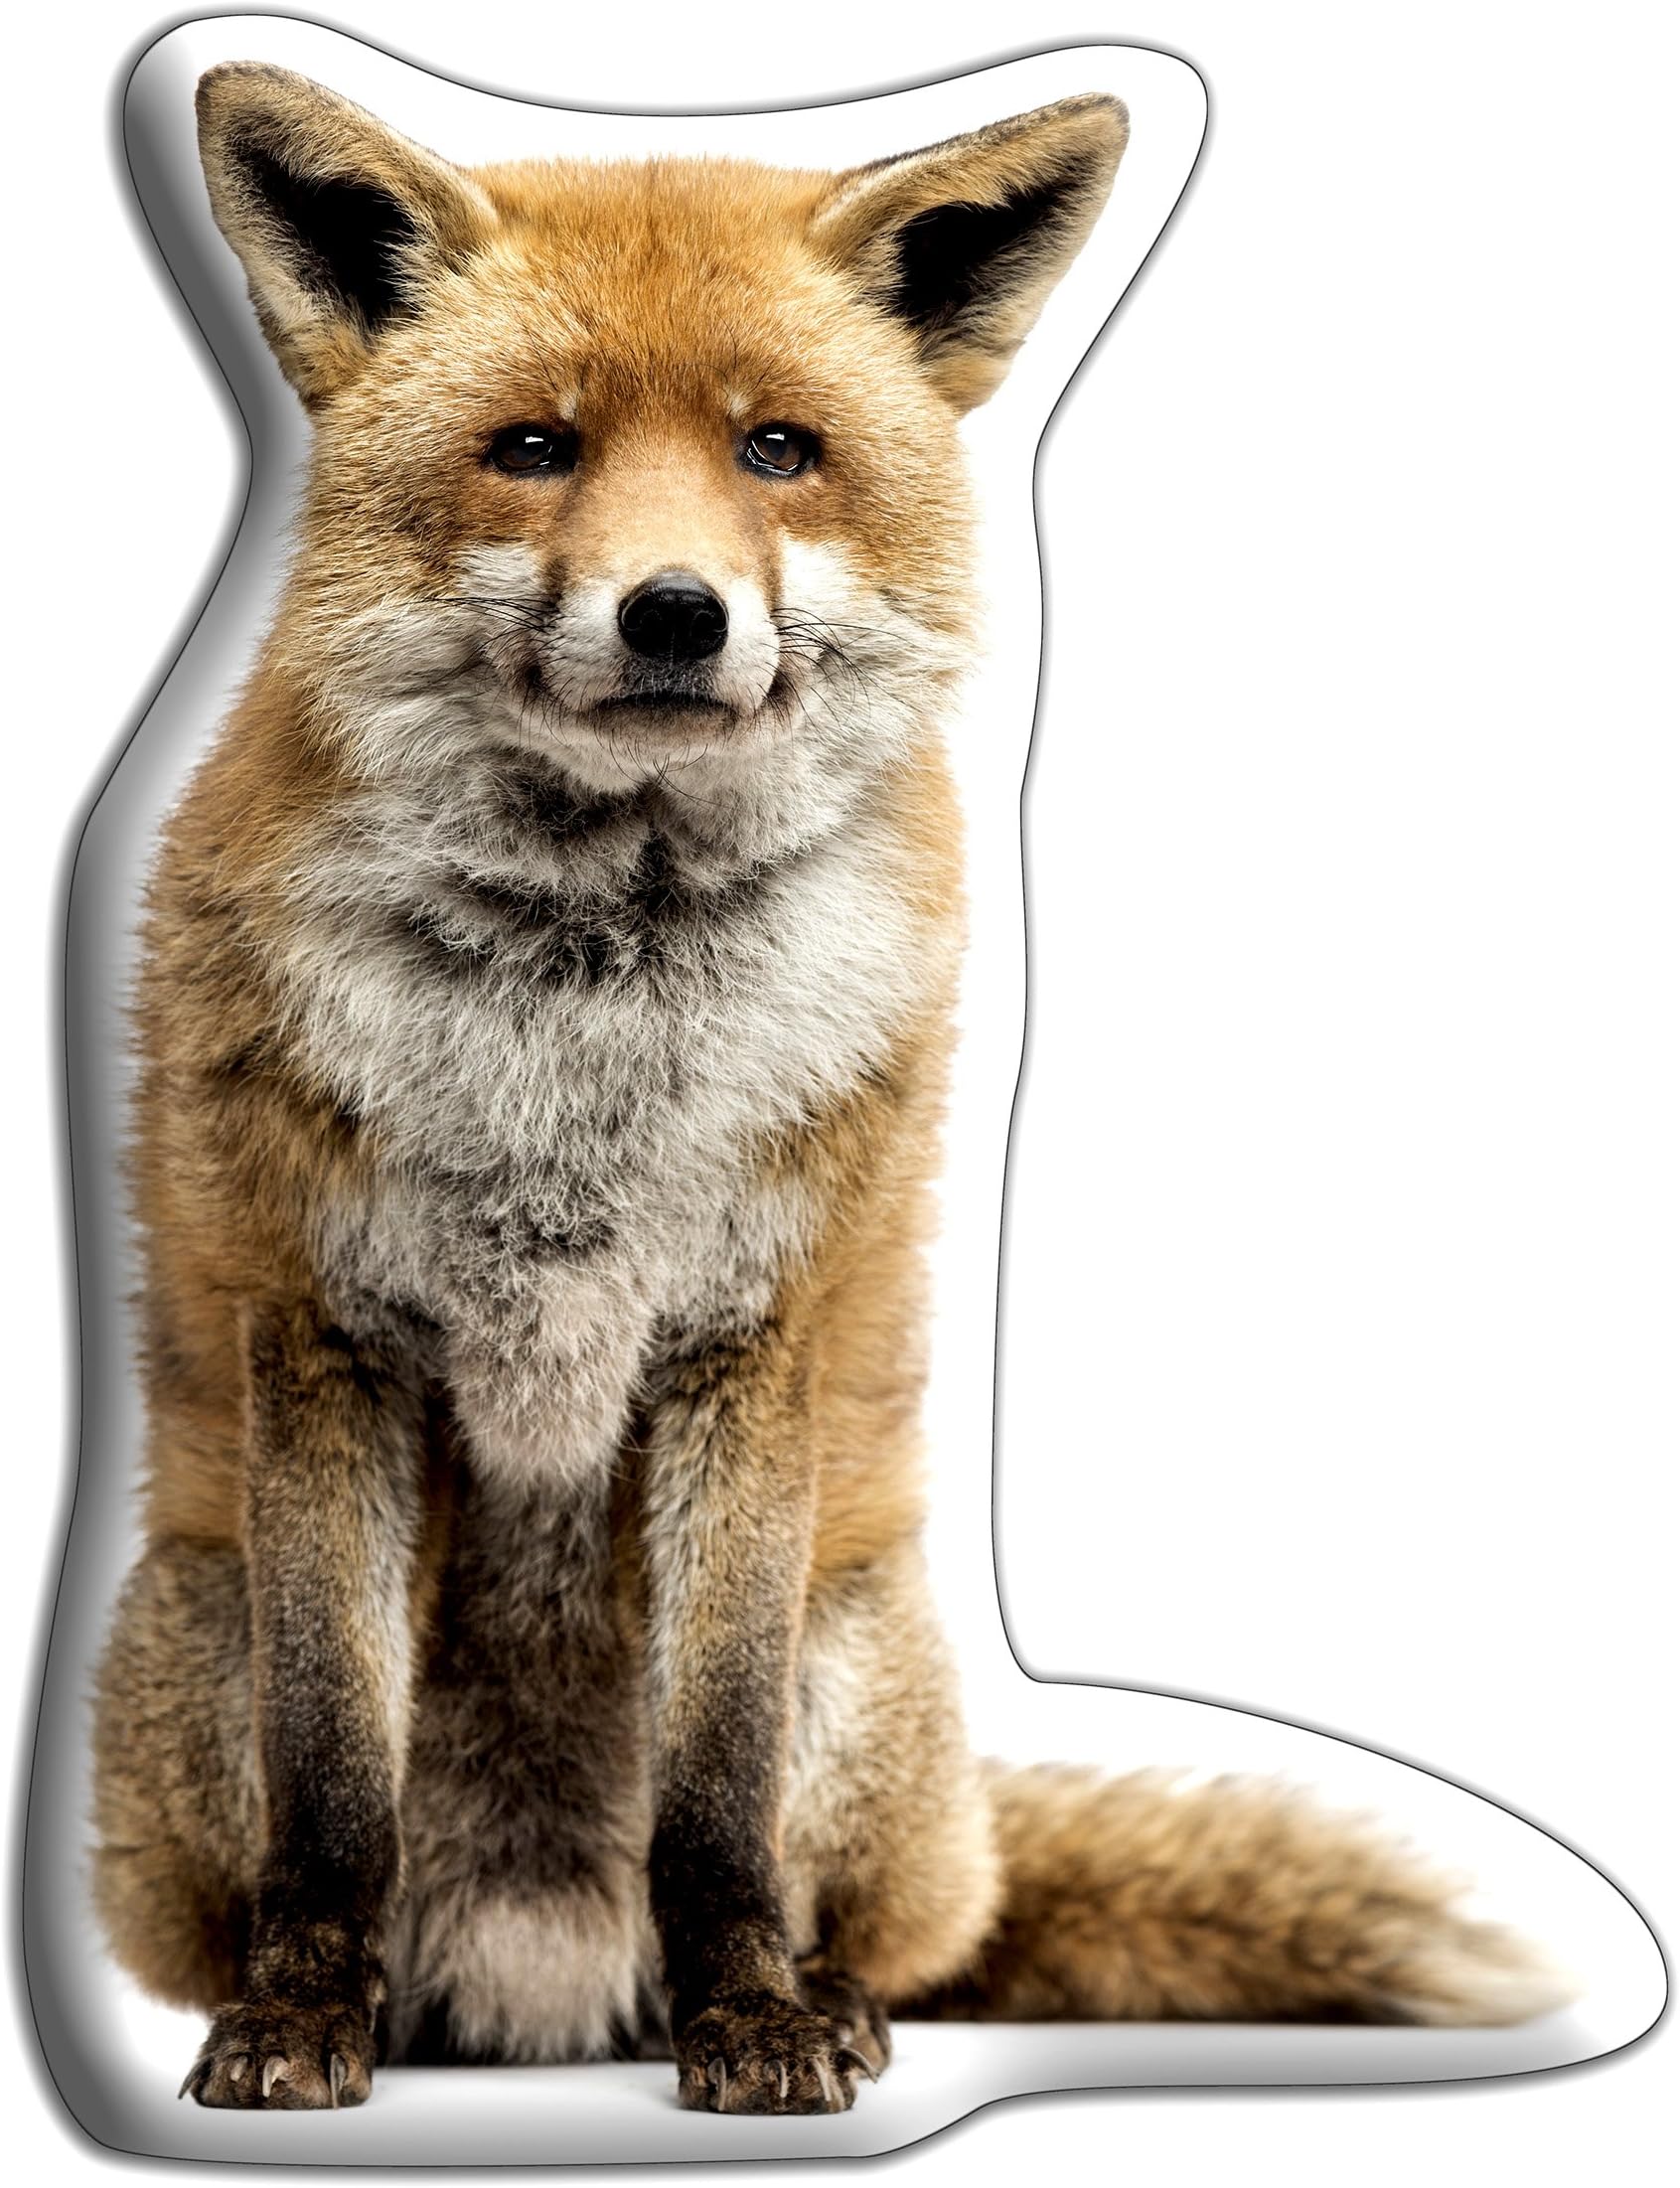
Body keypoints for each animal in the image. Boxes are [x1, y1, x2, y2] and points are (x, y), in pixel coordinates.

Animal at [89, 61, 1565, 2117]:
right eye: (533, 447)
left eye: (777, 447)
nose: (673, 612)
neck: (593, 1007)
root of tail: (544, 1993)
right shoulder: (326, 1330)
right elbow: (335, 1789)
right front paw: (300, 2016)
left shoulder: (750, 1335)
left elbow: (715, 1796)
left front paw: (756, 2023)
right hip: (191, 1629)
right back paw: (388, 2009)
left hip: (866, 1665)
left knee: (894, 1918)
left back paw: (826, 1996)